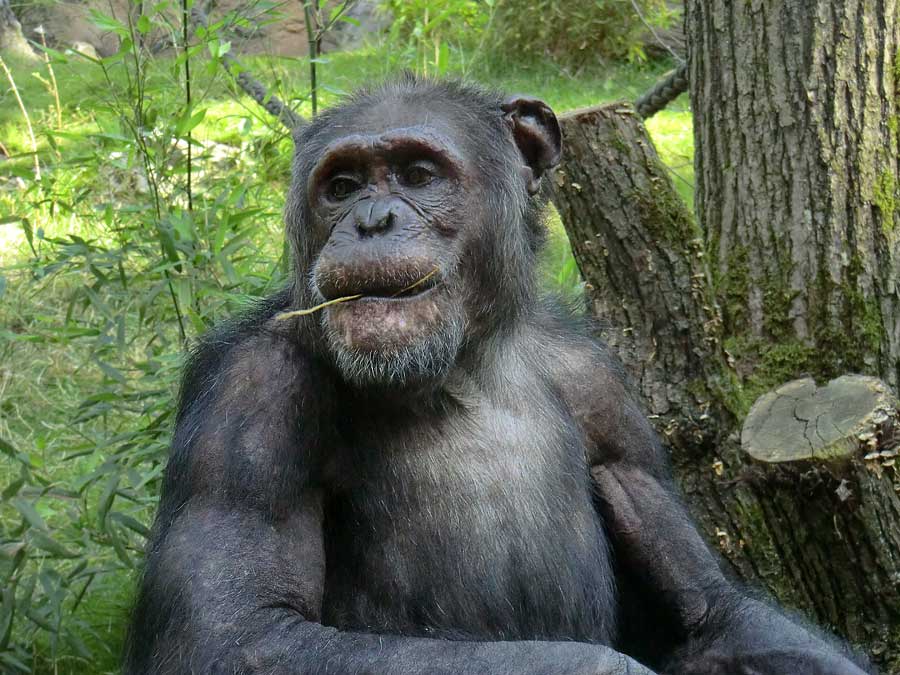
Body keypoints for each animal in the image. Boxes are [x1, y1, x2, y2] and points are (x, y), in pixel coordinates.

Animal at [125, 76, 872, 672]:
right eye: (340, 186)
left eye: (418, 174)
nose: (371, 220)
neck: (463, 368)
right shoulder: (249, 396)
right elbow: (237, 632)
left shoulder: (604, 392)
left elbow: (710, 609)